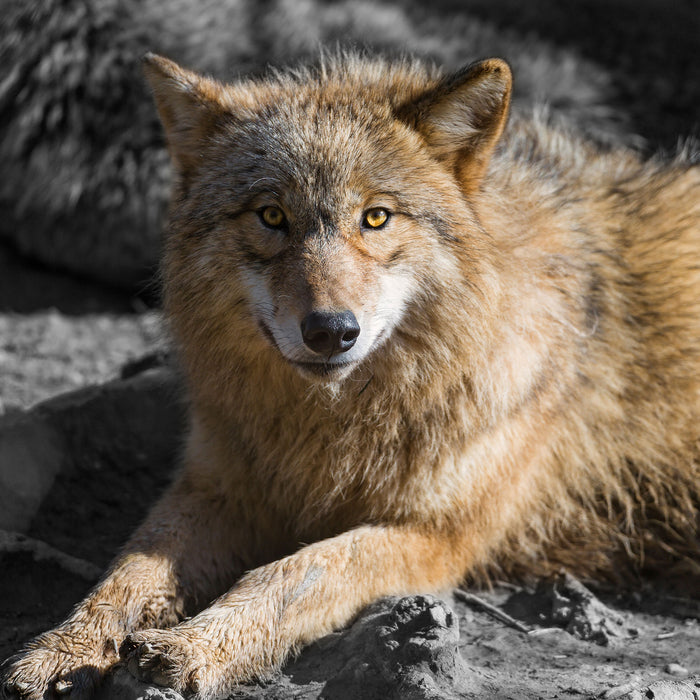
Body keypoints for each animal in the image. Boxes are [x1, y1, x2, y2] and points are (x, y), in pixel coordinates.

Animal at [1, 52, 700, 696]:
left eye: (377, 217)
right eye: (272, 216)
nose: (331, 331)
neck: (335, 426)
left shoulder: (433, 535)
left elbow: (294, 573)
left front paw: (196, 646)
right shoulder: (218, 486)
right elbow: (126, 571)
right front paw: (63, 647)